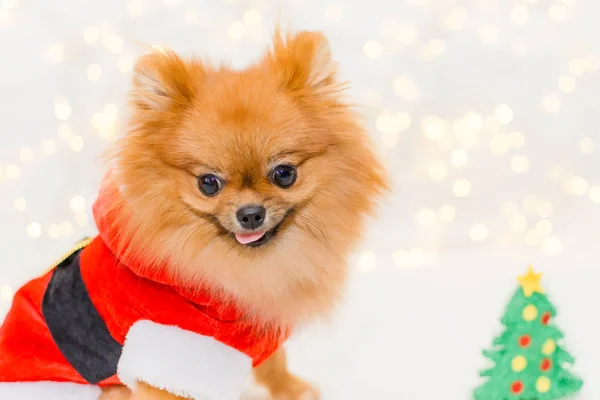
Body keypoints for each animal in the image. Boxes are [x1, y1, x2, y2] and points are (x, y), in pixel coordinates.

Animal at [0, 28, 386, 400]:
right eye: (208, 183)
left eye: (284, 174)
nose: (250, 214)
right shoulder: (176, 358)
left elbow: (274, 364)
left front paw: (292, 390)